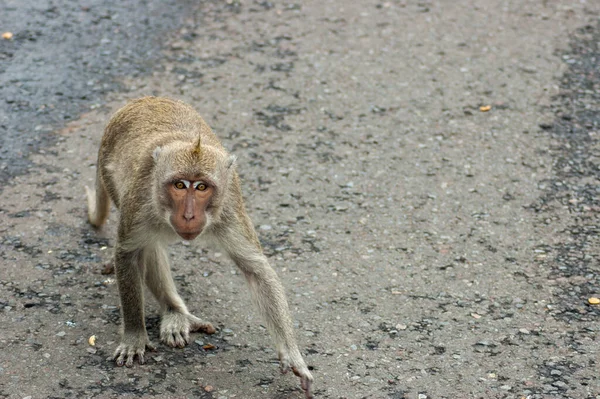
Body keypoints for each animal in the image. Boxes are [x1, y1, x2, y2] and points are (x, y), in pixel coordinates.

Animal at [86, 96, 316, 396]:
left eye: (202, 187)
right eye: (180, 185)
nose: (188, 215)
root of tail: (142, 100)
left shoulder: (228, 209)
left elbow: (256, 270)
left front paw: (292, 354)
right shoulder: (139, 204)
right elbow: (128, 253)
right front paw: (134, 336)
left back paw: (176, 313)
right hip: (112, 177)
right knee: (149, 248)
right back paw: (173, 310)